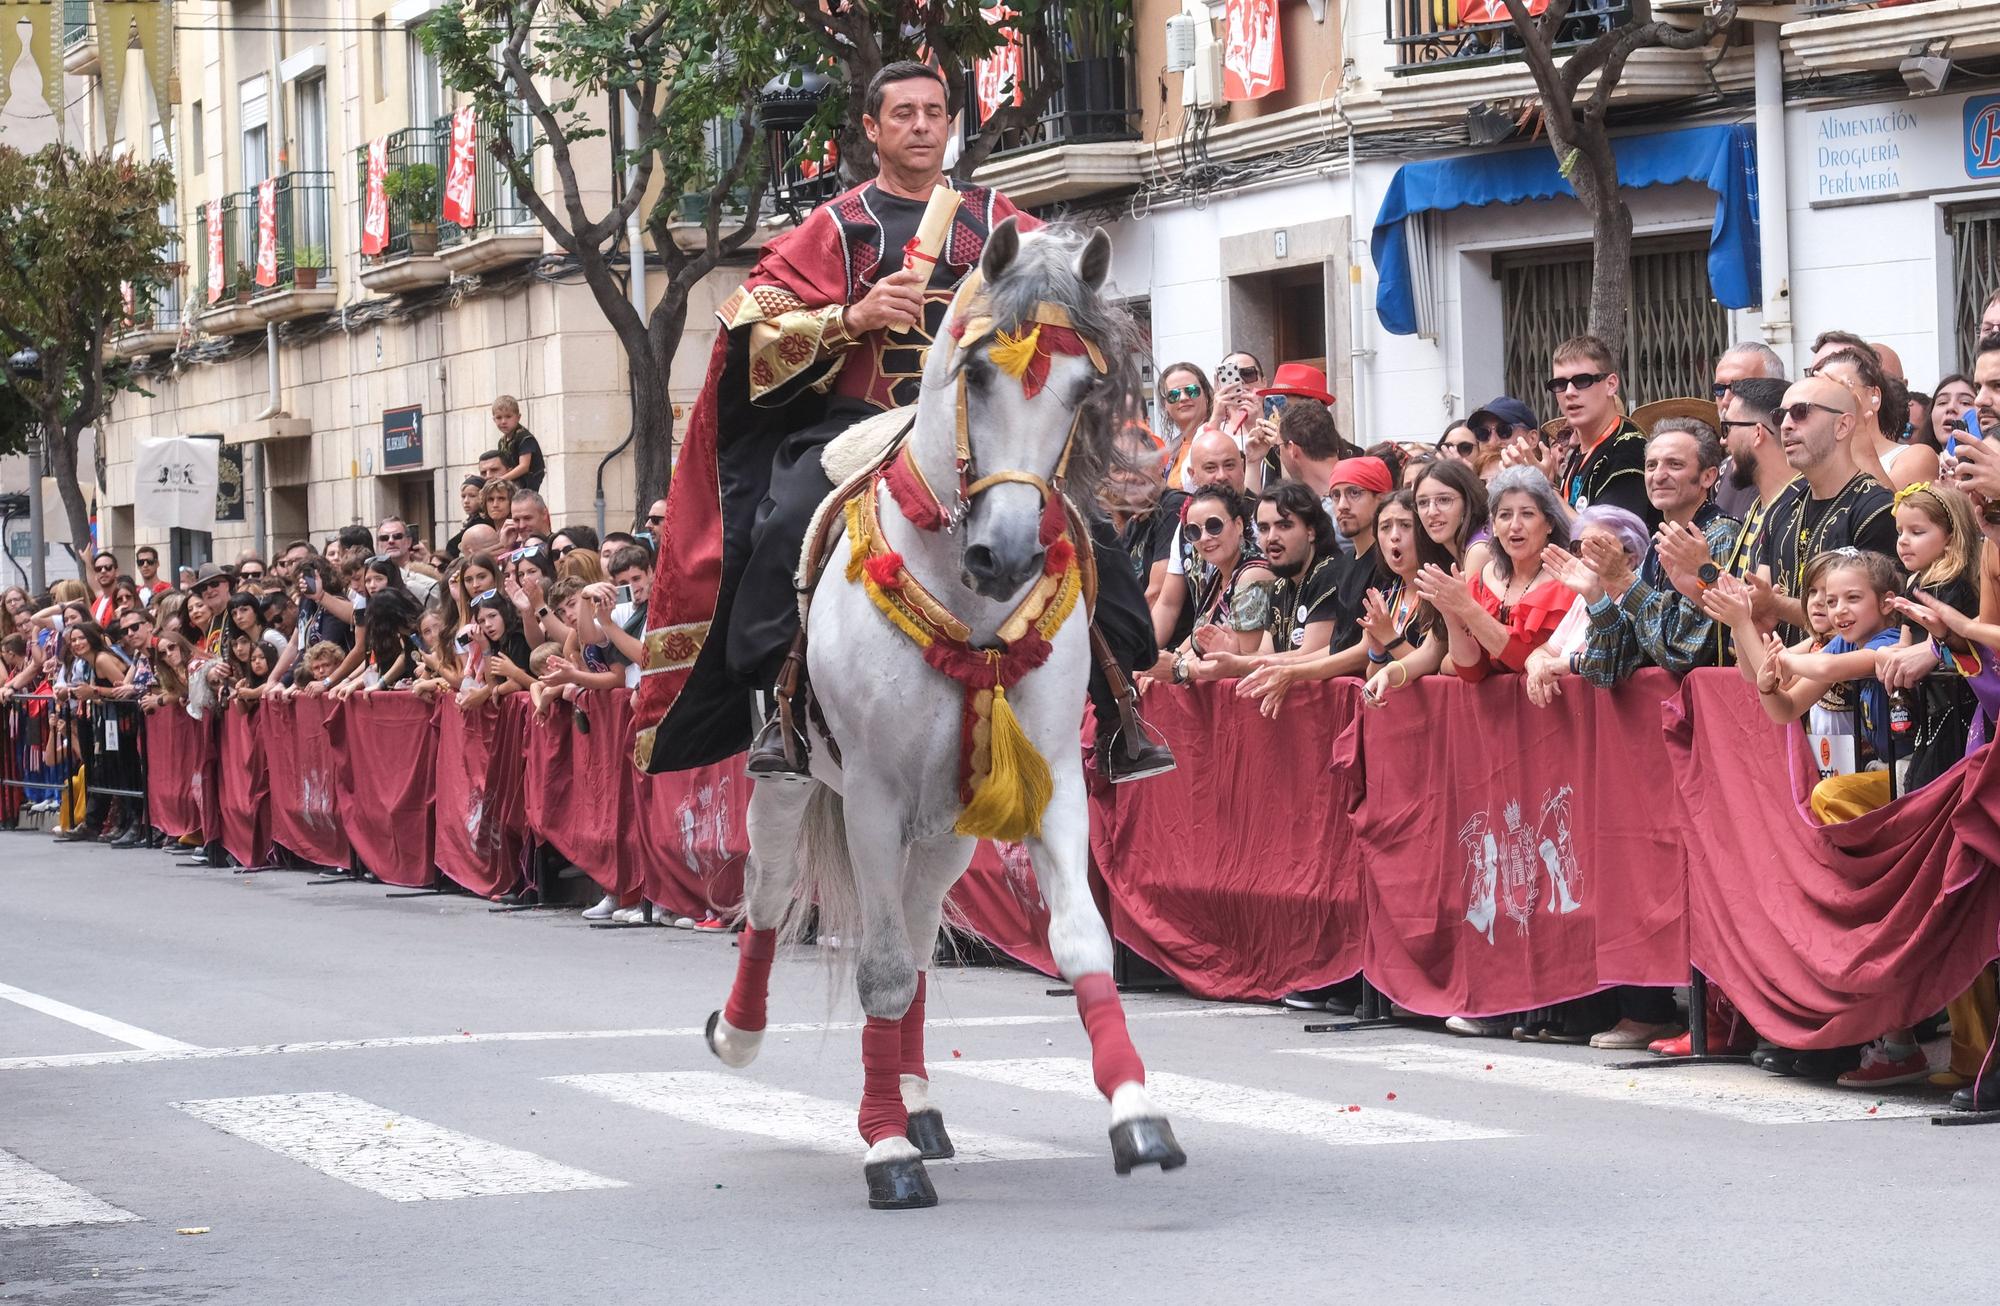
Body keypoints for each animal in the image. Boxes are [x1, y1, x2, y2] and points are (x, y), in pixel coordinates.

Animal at [700, 219, 1176, 1208]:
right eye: (979, 373)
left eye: (1084, 388)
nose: (1009, 556)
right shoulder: (874, 798)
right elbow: (877, 970)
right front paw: (885, 1152)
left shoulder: (1047, 782)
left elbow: (1079, 942)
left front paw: (1137, 1117)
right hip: (794, 783)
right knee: (770, 893)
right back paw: (743, 1033)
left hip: (952, 823)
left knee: (920, 938)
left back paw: (918, 1100)